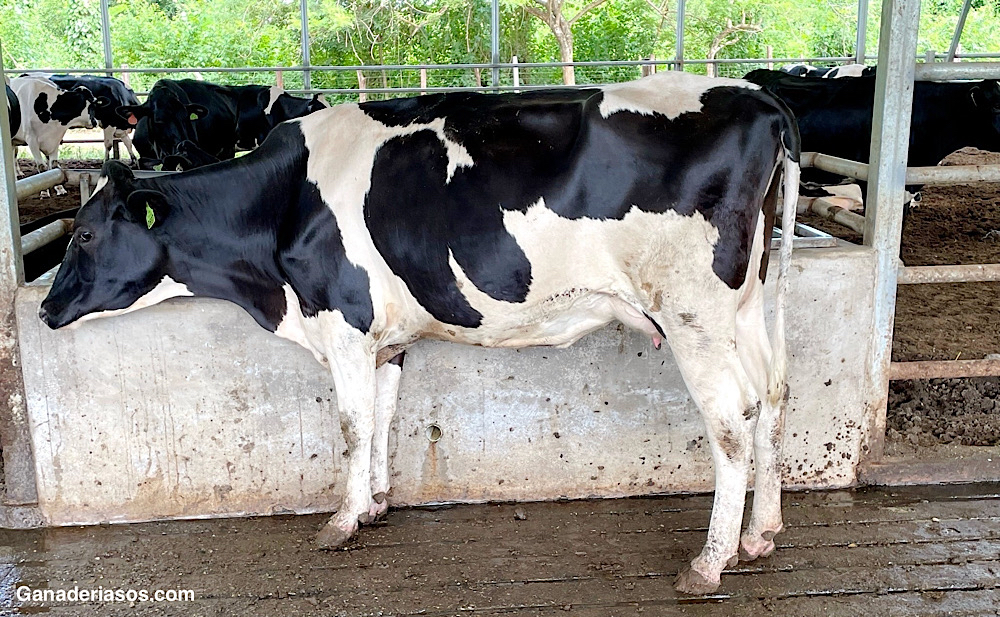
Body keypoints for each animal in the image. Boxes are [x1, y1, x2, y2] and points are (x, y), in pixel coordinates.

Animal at [38, 71, 800, 595]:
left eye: (84, 234)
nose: (44, 311)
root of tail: (760, 100)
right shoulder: (386, 339)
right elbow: (381, 417)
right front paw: (374, 504)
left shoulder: (343, 321)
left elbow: (349, 425)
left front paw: (340, 521)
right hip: (747, 305)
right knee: (772, 396)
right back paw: (761, 534)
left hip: (693, 313)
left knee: (731, 421)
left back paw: (709, 561)